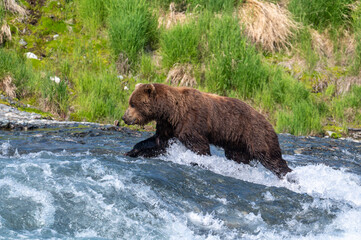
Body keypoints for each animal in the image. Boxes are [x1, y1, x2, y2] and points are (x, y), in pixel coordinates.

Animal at [122, 82, 292, 178]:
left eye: (133, 104)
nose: (124, 117)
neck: (171, 112)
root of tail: (270, 122)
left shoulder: (191, 122)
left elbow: (199, 147)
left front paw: (199, 162)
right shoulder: (168, 126)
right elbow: (157, 142)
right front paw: (132, 151)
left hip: (255, 133)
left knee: (271, 157)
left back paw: (288, 174)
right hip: (237, 142)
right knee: (238, 157)